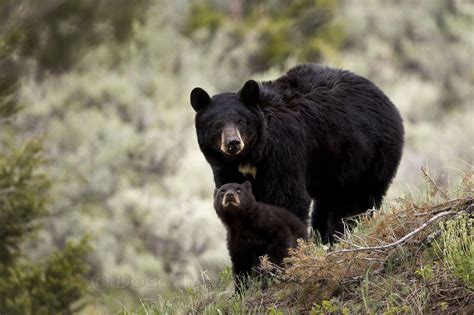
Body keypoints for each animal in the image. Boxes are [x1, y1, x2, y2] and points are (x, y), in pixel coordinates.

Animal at [193, 63, 404, 243]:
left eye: (241, 121)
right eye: (217, 124)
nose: (233, 143)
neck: (251, 155)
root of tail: (387, 101)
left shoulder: (283, 152)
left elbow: (288, 197)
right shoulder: (226, 168)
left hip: (368, 156)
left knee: (354, 201)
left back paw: (339, 235)